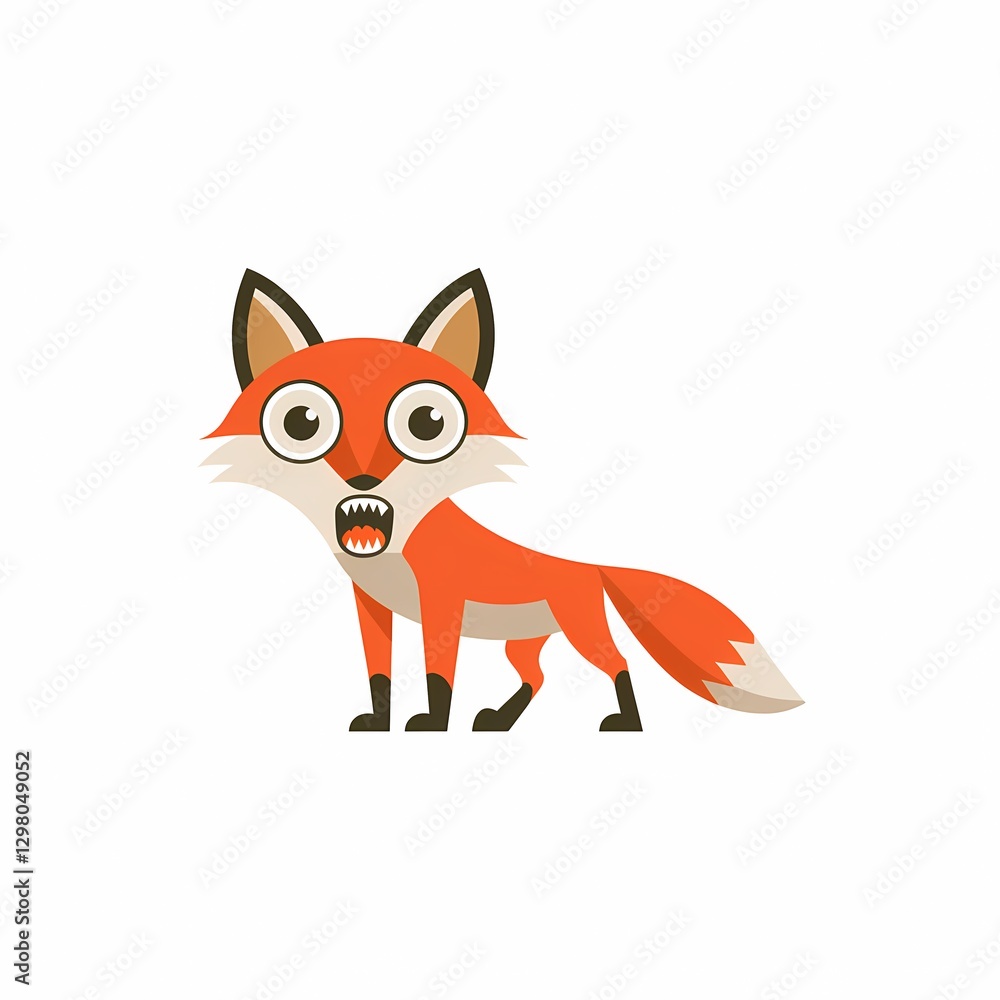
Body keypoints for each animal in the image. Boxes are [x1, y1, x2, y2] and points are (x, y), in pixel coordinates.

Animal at [205, 268, 804, 731]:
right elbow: (379, 672)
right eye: (303, 422)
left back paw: (624, 722)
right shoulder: (370, 604)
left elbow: (437, 675)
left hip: (581, 631)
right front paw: (379, 721)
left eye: (426, 422)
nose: (363, 480)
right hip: (525, 642)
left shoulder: (441, 599)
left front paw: (432, 724)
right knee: (535, 677)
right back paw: (499, 719)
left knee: (617, 664)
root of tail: (590, 566)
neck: (393, 549)